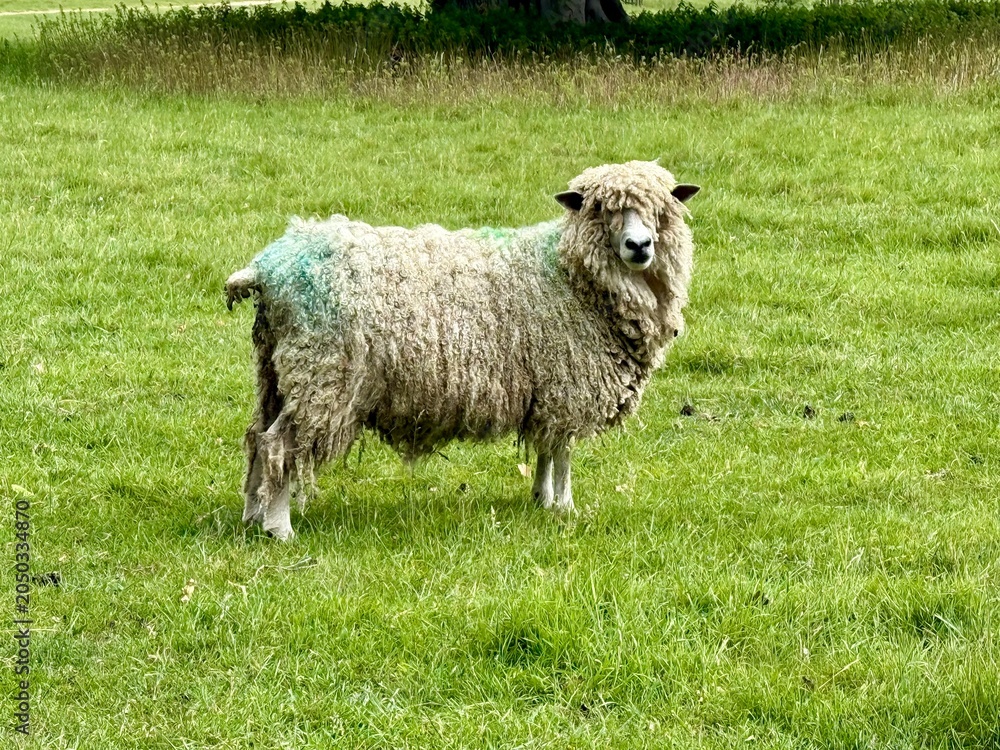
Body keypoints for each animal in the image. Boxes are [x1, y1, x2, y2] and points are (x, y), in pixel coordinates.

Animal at [226, 161, 699, 540]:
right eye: (600, 209)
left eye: (662, 208)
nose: (639, 246)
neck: (567, 272)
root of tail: (268, 270)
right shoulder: (569, 383)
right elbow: (563, 452)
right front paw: (565, 507)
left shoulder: (548, 387)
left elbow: (546, 450)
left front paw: (541, 498)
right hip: (323, 376)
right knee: (278, 445)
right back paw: (279, 528)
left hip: (276, 372)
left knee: (256, 439)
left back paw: (252, 515)